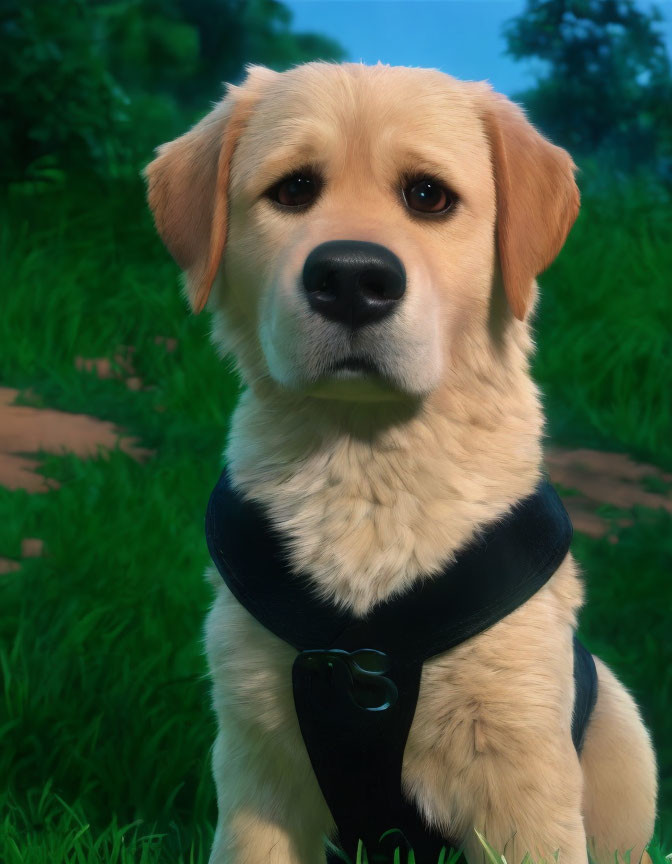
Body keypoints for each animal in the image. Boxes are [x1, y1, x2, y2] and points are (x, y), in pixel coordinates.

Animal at [146, 62, 656, 864]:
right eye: (293, 189)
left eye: (428, 196)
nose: (353, 280)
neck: (367, 468)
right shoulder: (258, 765)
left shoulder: (523, 770)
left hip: (622, 739)